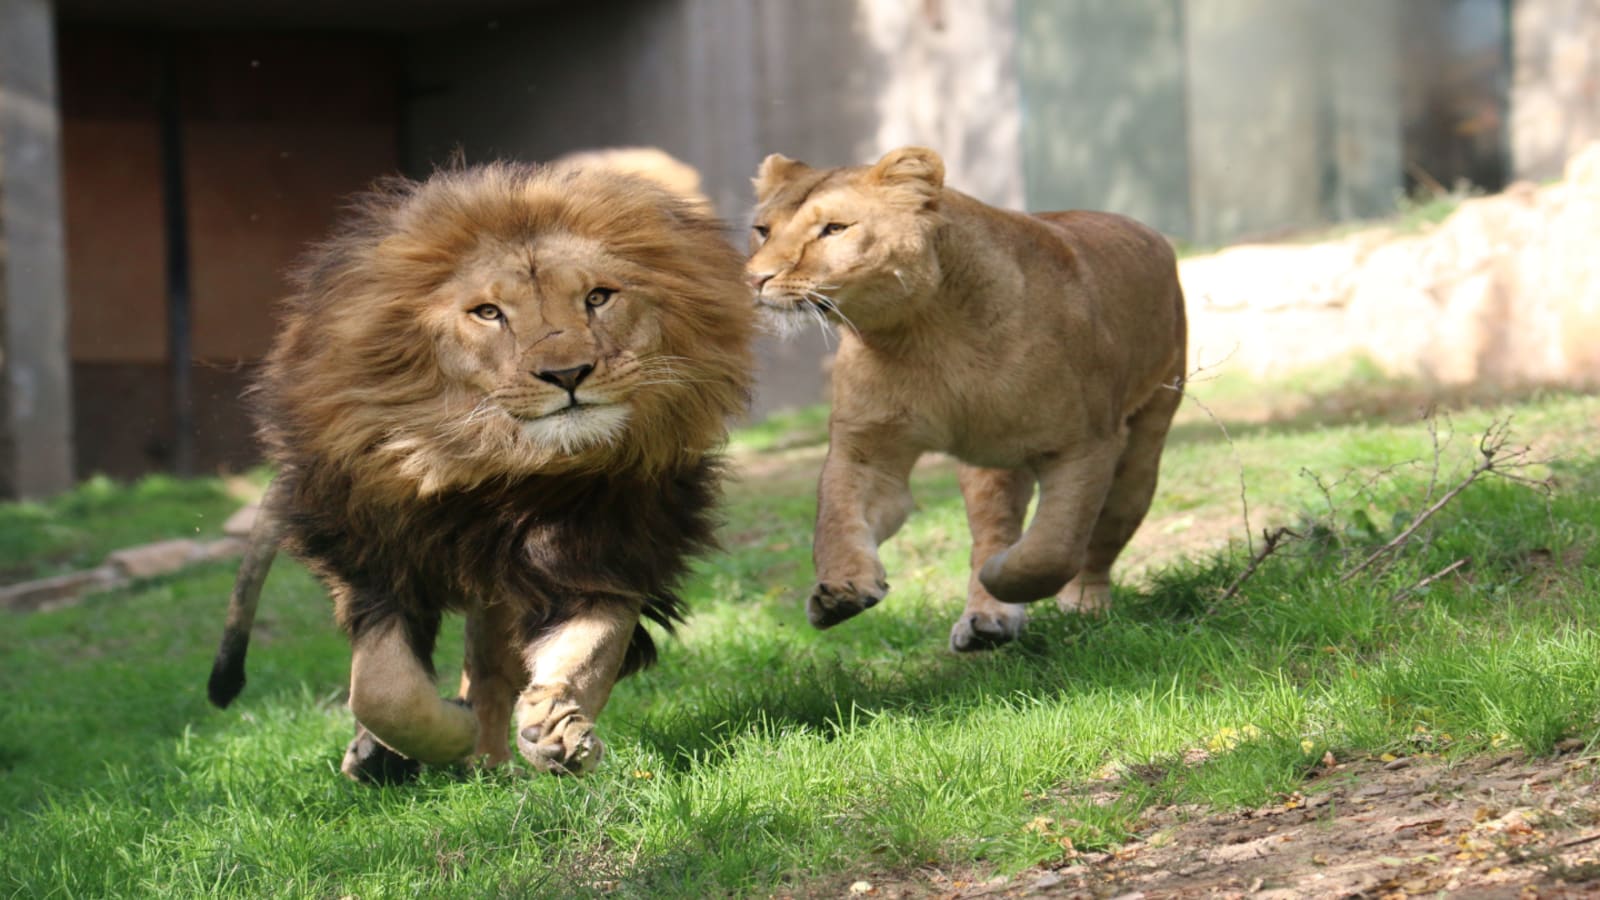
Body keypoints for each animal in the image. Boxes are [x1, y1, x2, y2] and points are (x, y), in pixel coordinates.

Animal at [209, 160, 752, 778]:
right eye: (489, 313)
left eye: (597, 297)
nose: (568, 374)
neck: (500, 475)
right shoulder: (377, 563)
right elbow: (383, 691)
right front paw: (441, 734)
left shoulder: (604, 551)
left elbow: (586, 651)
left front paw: (555, 730)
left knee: (491, 669)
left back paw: (490, 759)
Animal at [742, 147, 1184, 650]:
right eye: (763, 230)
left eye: (834, 229)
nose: (755, 279)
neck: (926, 333)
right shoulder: (869, 449)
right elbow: (837, 519)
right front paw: (841, 589)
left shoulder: (1085, 444)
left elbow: (1053, 548)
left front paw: (1006, 577)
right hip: (989, 465)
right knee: (993, 528)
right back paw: (987, 619)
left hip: (1139, 454)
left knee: (1099, 539)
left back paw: (1082, 605)